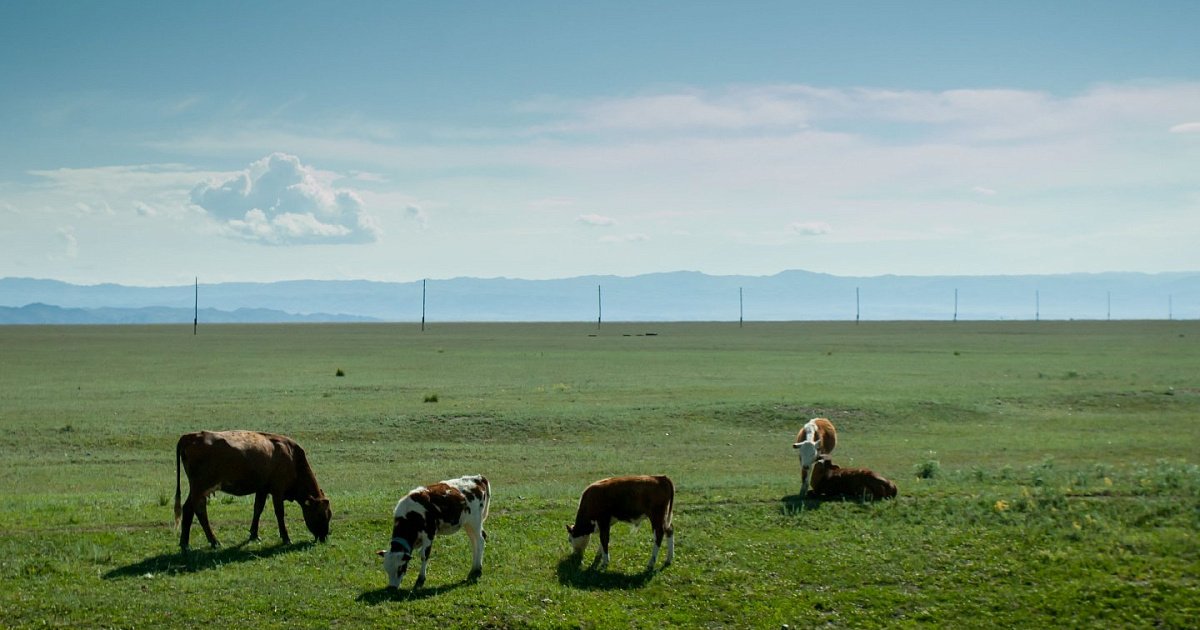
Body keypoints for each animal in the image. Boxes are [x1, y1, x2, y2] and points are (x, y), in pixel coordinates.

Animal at [174, 427, 333, 549]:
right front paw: (286, 538)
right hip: (201, 487)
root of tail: (190, 436)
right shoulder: (277, 491)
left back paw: (185, 544)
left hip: (196, 489)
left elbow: (258, 509)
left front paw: (254, 535)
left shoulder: (262, 489)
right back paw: (214, 541)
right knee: (199, 509)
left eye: (330, 514)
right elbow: (279, 513)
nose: (324, 536)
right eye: (320, 514)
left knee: (188, 508)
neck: (292, 456)